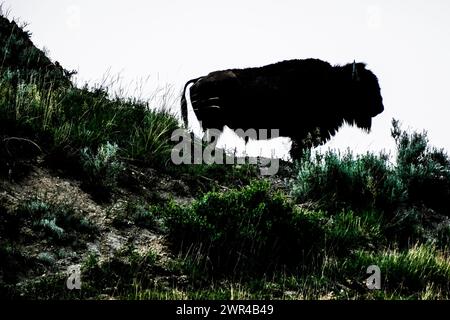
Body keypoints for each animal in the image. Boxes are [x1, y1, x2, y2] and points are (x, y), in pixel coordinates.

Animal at [181, 58, 384, 159]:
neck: (333, 82)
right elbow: (298, 152)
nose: (380, 108)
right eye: (364, 86)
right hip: (214, 124)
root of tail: (200, 79)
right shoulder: (302, 133)